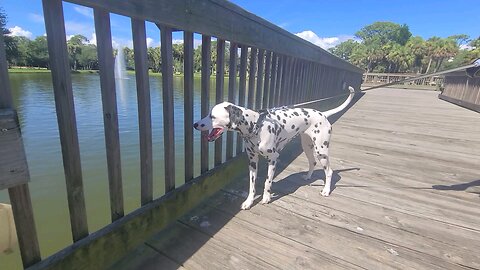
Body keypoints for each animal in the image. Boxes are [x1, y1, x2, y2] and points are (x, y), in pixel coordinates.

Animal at [193, 86, 354, 209]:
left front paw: (266, 197)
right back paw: (308, 177)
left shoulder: (273, 159)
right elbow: (252, 186)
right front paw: (248, 202)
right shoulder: (252, 162)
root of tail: (323, 114)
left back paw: (326, 190)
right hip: (307, 146)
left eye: (212, 116)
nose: (195, 124)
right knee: (312, 162)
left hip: (321, 151)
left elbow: (267, 182)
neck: (256, 126)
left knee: (329, 171)